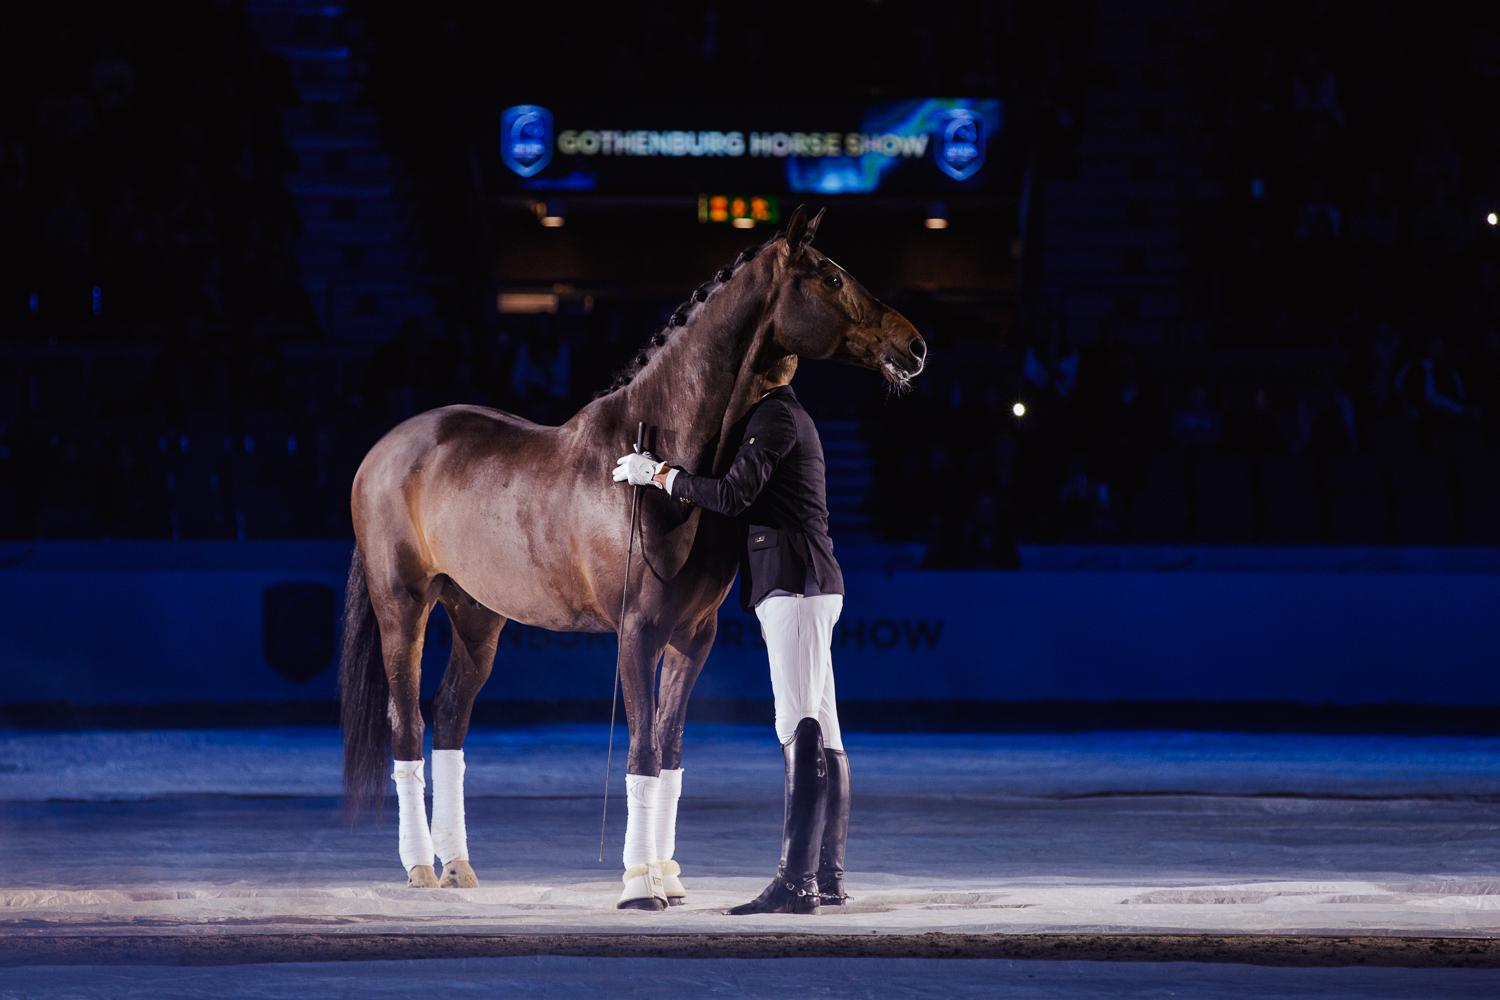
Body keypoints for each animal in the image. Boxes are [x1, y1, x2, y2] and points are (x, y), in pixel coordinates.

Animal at [340, 203, 924, 905]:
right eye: (832, 278)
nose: (915, 346)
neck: (663, 451)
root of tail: (383, 450)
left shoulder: (692, 636)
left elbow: (669, 751)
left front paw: (667, 876)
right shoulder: (637, 631)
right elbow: (642, 747)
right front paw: (641, 884)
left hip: (477, 614)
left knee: (450, 718)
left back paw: (457, 865)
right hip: (403, 607)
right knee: (406, 725)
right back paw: (421, 869)